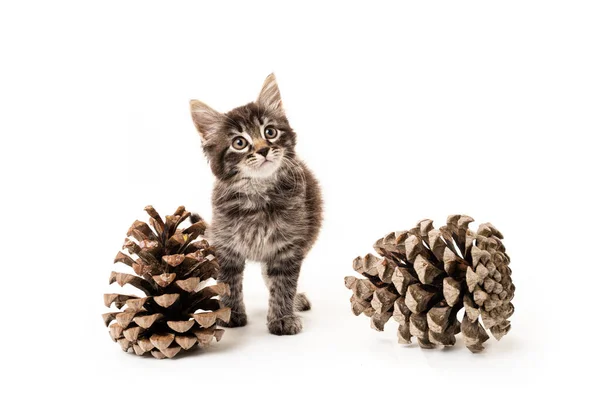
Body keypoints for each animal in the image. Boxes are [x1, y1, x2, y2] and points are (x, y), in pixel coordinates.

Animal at [191, 74, 324, 334]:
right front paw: (230, 314)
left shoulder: (288, 246)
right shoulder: (225, 245)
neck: (258, 197)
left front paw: (282, 317)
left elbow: (283, 284)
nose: (263, 150)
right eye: (239, 143)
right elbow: (228, 283)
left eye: (270, 132)